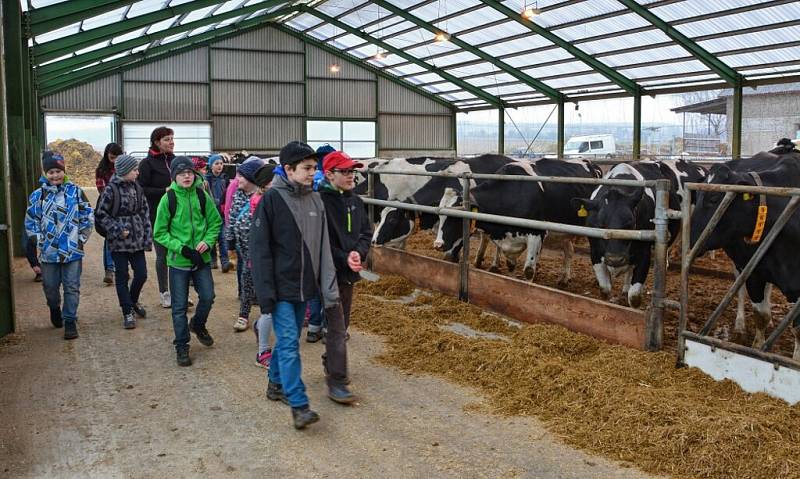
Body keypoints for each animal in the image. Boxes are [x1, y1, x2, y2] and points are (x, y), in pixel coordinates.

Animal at [438, 158, 600, 284]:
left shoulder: (537, 233)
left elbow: (528, 270)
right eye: (440, 216)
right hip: (563, 229)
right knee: (569, 250)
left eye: (455, 217)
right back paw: (564, 279)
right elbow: (510, 265)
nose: (438, 244)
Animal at [688, 151, 800, 360]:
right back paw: (740, 326)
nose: (690, 240)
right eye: (697, 195)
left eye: (714, 198)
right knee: (739, 289)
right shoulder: (754, 273)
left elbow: (797, 328)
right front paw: (757, 347)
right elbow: (760, 315)